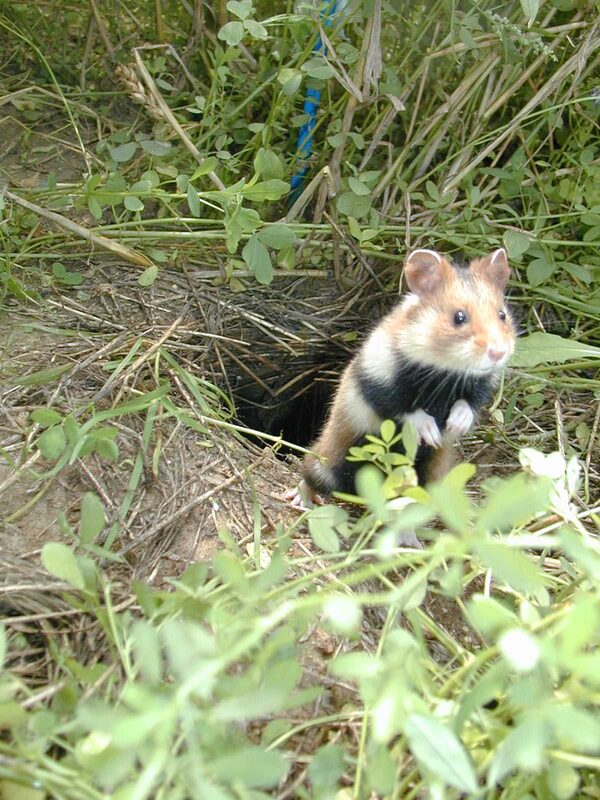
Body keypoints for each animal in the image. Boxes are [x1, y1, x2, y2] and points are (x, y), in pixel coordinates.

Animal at [288, 247, 516, 516]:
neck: (443, 370)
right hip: (329, 459)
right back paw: (299, 500)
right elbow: (400, 406)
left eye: (502, 315)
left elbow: (470, 403)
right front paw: (431, 433)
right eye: (459, 317)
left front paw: (454, 425)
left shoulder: (480, 384)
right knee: (310, 474)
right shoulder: (376, 378)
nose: (498, 352)